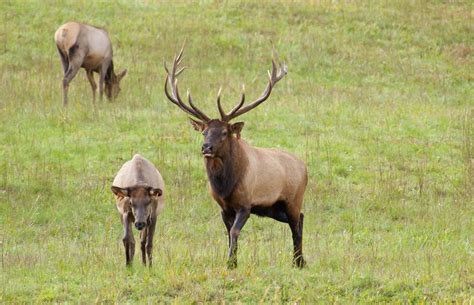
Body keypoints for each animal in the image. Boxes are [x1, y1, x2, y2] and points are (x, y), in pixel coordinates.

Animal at [165, 46, 310, 268]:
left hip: (293, 199)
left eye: (224, 132)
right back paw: (301, 260)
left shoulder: (245, 204)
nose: (206, 147)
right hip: (273, 209)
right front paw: (232, 260)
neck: (225, 186)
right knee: (300, 220)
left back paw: (298, 262)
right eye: (204, 131)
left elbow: (234, 231)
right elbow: (227, 233)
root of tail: (305, 168)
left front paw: (231, 263)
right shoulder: (224, 207)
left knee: (296, 224)